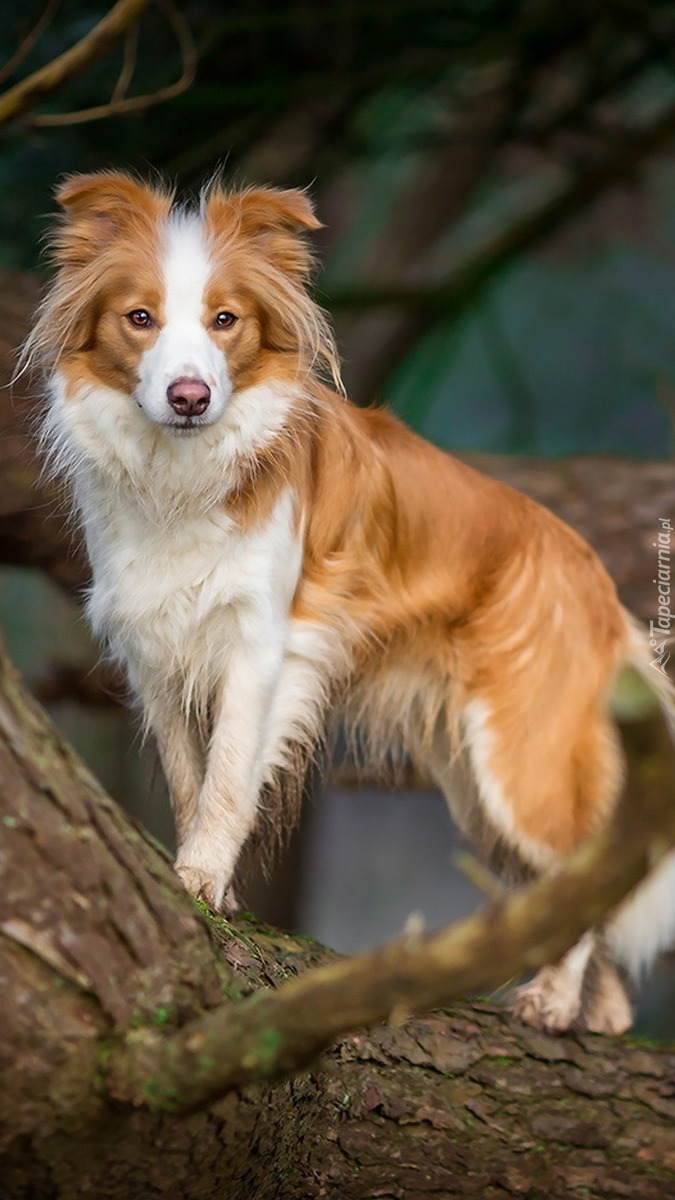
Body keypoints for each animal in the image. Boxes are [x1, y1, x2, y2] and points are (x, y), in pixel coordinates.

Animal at [24, 169, 672, 1032]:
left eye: (225, 320)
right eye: (139, 318)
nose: (190, 396)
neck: (185, 473)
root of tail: (594, 579)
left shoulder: (261, 647)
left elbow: (228, 777)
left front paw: (200, 880)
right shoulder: (157, 655)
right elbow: (192, 778)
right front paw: (203, 889)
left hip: (518, 761)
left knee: (583, 869)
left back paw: (552, 999)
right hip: (472, 786)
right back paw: (600, 1010)